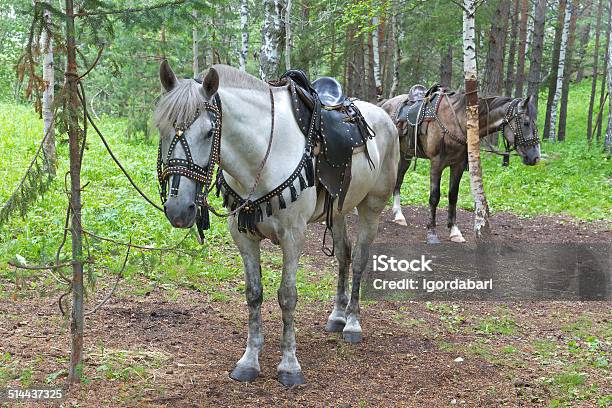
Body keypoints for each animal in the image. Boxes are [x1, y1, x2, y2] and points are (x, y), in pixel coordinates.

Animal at [155, 62, 400, 388]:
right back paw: (337, 316)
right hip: (338, 211)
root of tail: (385, 116)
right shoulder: (243, 236)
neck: (261, 156)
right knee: (344, 254)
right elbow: (253, 293)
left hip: (371, 206)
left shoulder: (293, 236)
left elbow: (287, 296)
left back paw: (352, 323)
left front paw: (289, 365)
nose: (178, 209)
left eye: (209, 132)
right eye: (162, 129)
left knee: (359, 258)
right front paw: (249, 361)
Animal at [382, 88, 540, 244]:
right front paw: (432, 233)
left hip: (405, 155)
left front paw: (454, 231)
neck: (458, 121)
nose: (536, 157)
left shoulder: (458, 165)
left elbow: (453, 196)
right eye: (526, 123)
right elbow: (434, 197)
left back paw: (399, 215)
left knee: (398, 181)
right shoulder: (436, 164)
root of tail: (385, 103)